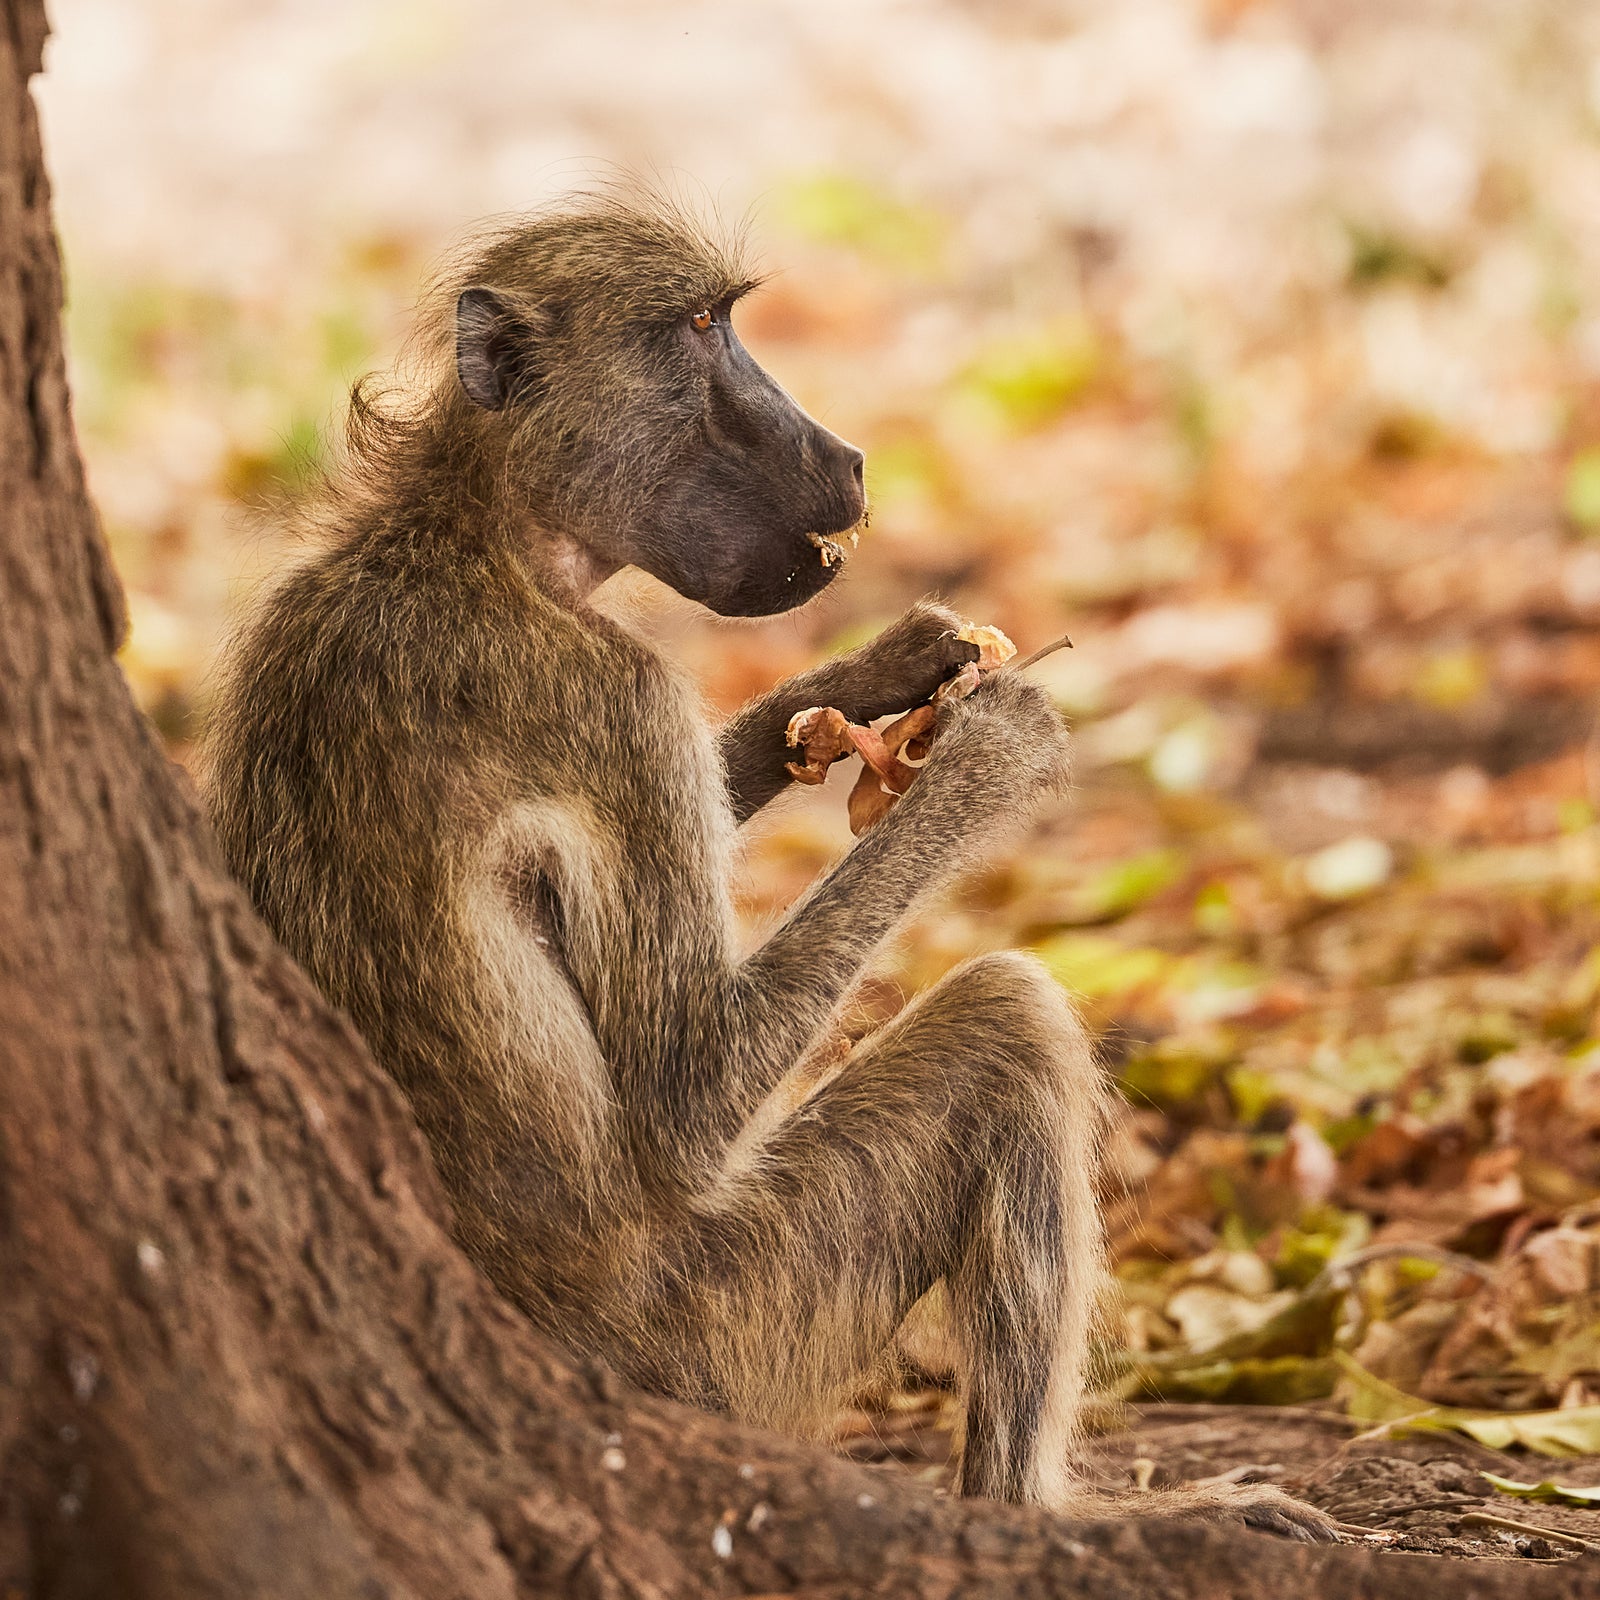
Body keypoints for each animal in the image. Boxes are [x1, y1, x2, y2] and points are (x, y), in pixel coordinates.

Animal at [203, 192, 1334, 1536]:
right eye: (700, 331)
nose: (847, 458)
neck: (477, 530)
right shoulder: (621, 702)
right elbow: (688, 1105)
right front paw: (987, 756)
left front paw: (877, 675)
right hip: (726, 1338)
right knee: (1008, 1020)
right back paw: (1039, 1511)